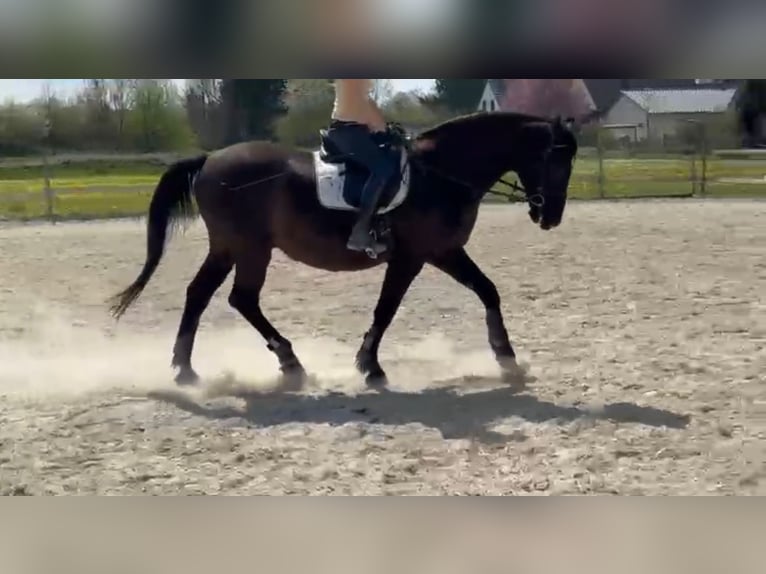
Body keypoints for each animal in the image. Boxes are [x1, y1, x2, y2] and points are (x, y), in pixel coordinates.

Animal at [109, 111, 579, 388]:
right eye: (556, 160)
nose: (551, 216)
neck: (441, 173)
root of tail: (209, 160)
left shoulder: (444, 252)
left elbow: (488, 291)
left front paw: (506, 357)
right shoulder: (412, 257)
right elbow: (386, 309)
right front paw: (370, 366)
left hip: (228, 248)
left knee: (201, 295)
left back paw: (187, 368)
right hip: (250, 248)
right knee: (240, 298)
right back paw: (287, 361)